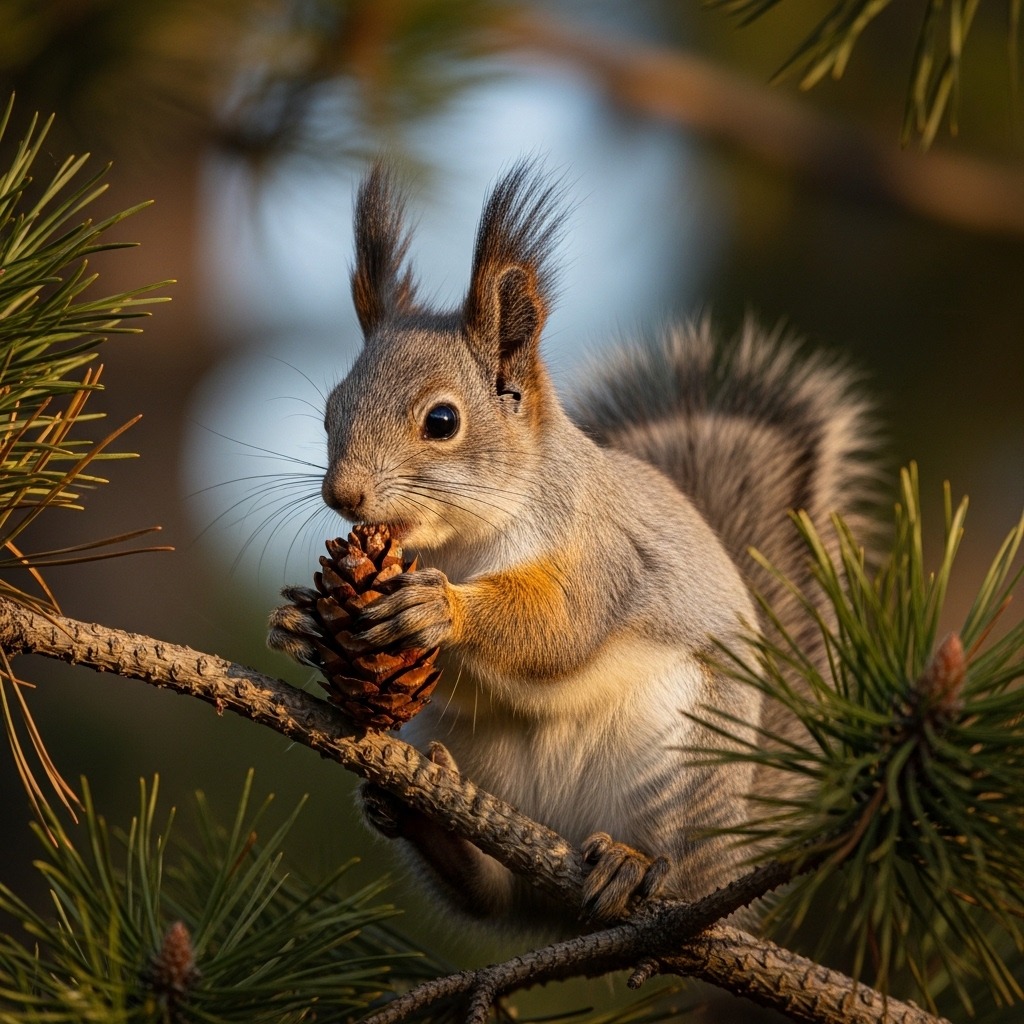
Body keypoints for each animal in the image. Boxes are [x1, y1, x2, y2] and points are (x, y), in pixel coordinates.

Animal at [267, 160, 877, 932]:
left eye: (442, 421)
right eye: (329, 413)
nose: (343, 496)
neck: (458, 548)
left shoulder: (602, 553)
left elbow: (563, 625)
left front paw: (441, 611)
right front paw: (298, 617)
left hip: (686, 769)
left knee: (672, 864)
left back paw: (634, 864)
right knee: (488, 896)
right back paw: (424, 817)